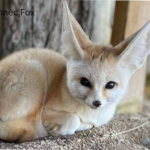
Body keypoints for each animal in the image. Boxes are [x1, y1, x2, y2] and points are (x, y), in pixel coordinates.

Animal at [0, 1, 150, 142]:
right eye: (85, 82)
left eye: (110, 85)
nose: (97, 103)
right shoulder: (46, 111)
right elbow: (73, 120)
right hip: (37, 72)